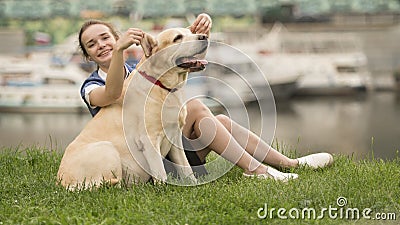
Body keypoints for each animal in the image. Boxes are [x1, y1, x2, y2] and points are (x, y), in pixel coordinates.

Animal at [58, 27, 211, 190]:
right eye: (177, 38)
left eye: (191, 32)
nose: (204, 37)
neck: (161, 86)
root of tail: (62, 182)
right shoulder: (148, 139)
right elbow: (160, 172)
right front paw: (162, 190)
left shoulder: (175, 136)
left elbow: (185, 167)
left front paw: (194, 184)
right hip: (108, 149)